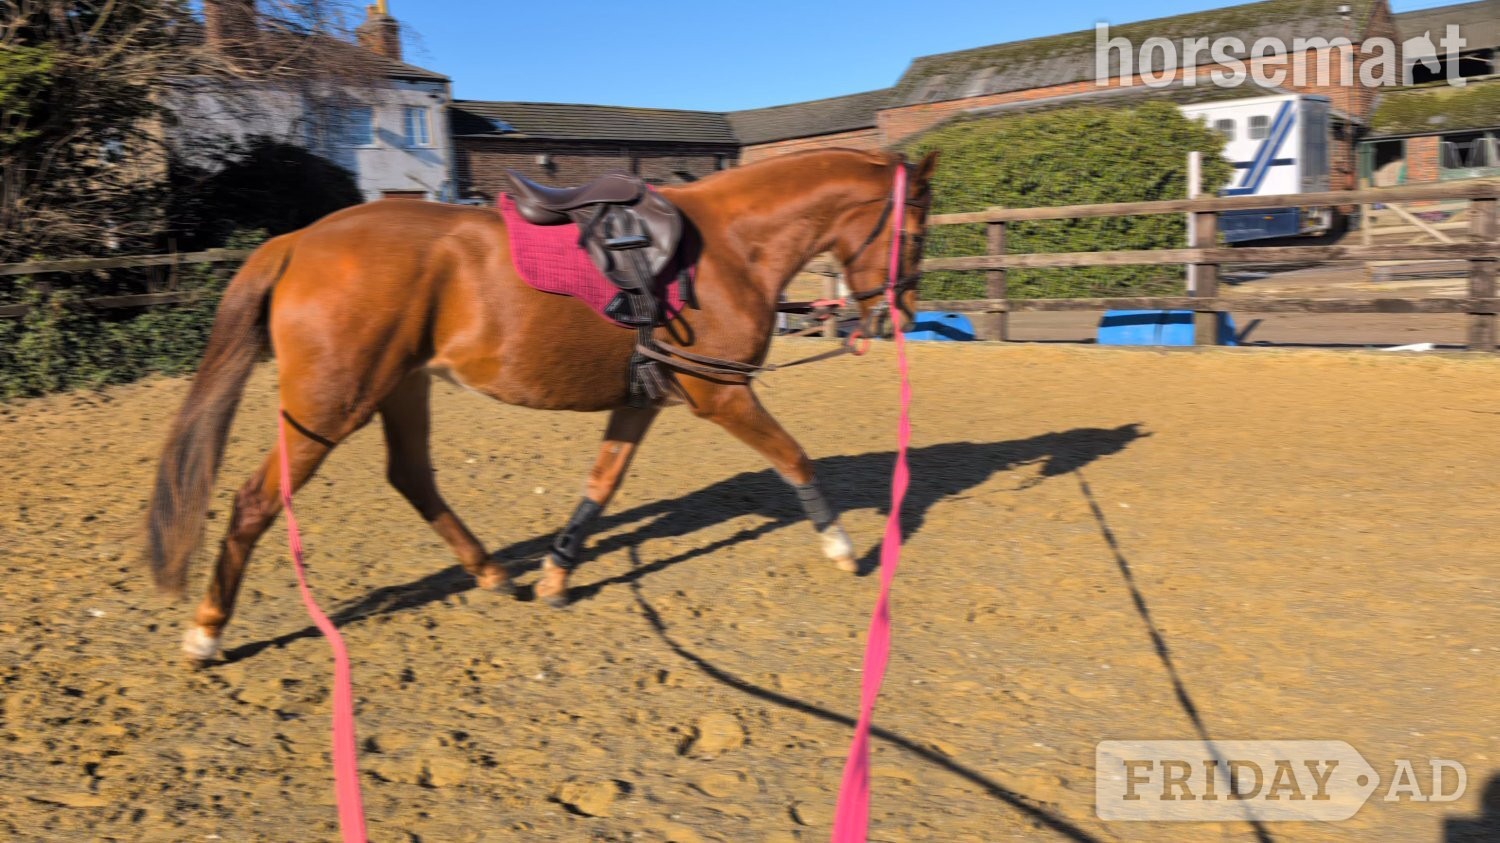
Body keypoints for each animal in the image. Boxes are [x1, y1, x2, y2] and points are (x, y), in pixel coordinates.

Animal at [145, 147, 938, 663]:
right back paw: (207, 631)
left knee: (412, 477)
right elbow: (795, 458)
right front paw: (841, 547)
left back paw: (493, 573)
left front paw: (558, 575)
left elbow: (602, 482)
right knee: (254, 502)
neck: (730, 250)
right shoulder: (720, 392)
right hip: (329, 405)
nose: (899, 313)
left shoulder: (646, 396)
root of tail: (299, 240)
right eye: (915, 230)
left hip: (399, 387)